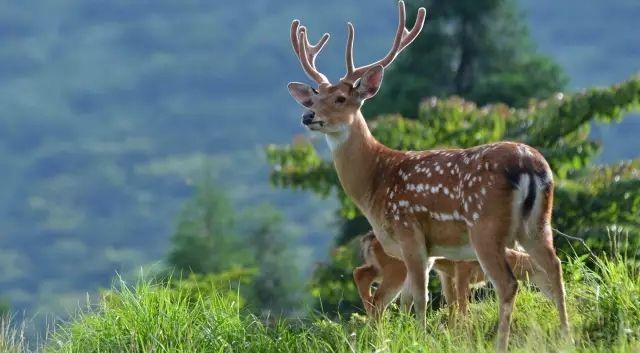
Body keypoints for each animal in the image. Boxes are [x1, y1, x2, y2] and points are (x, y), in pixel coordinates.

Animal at [352, 231, 552, 320]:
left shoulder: (447, 274)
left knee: (360, 273)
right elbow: (462, 302)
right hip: (396, 268)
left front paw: (452, 329)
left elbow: (452, 303)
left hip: (383, 267)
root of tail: (367, 239)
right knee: (379, 298)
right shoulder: (461, 268)